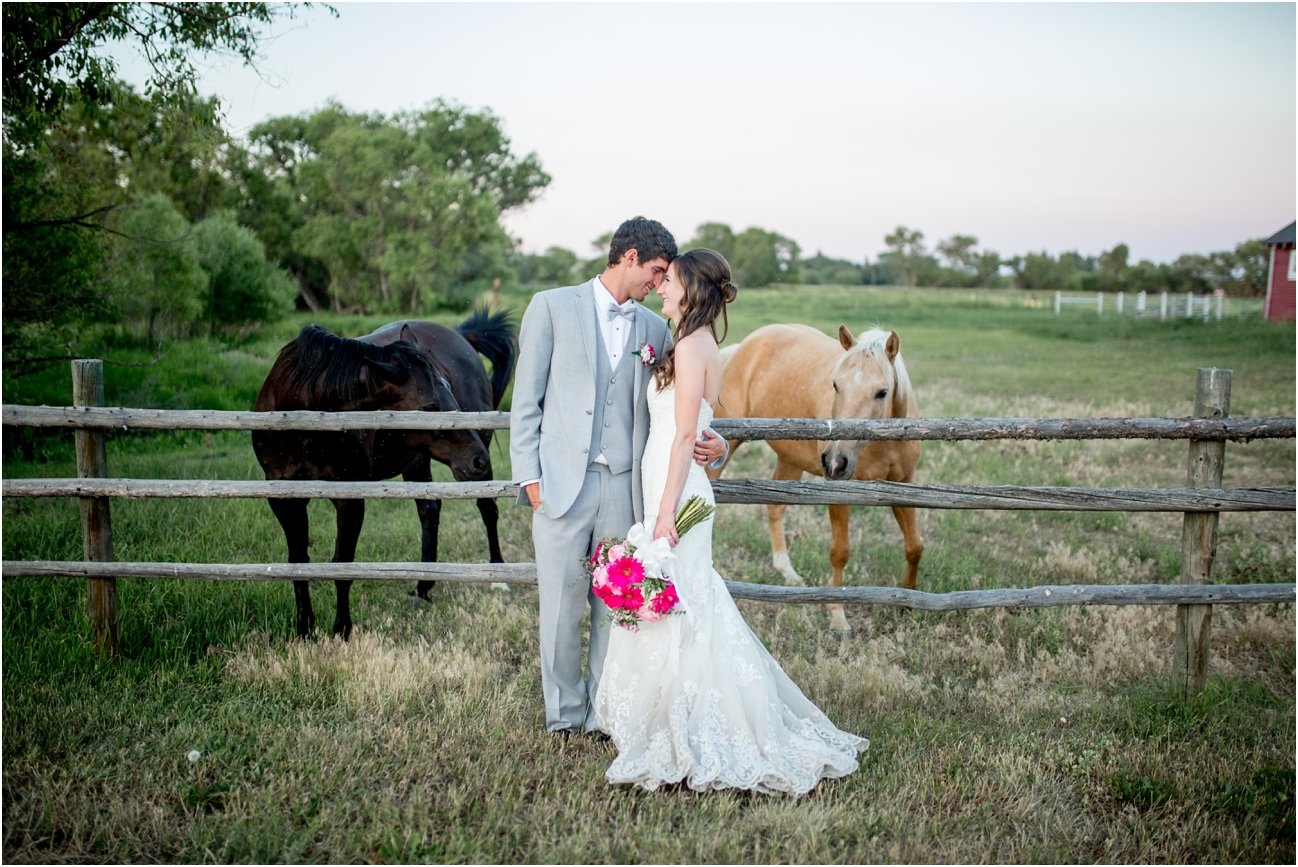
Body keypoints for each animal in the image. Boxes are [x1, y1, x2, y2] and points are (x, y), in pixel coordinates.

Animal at [253, 311, 516, 635]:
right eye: (430, 407)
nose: (476, 458)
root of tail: (460, 335)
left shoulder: (349, 498)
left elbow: (342, 564)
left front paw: (341, 629)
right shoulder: (284, 498)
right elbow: (298, 560)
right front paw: (304, 628)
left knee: (488, 509)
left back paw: (498, 576)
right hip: (417, 461)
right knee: (429, 511)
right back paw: (423, 588)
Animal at [711, 321, 924, 633]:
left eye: (882, 392)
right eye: (835, 385)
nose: (835, 461)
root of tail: (743, 347)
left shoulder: (904, 487)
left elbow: (914, 547)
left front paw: (907, 601)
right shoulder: (839, 492)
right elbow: (840, 552)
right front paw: (837, 616)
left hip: (789, 460)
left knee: (774, 508)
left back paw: (788, 573)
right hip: (725, 445)